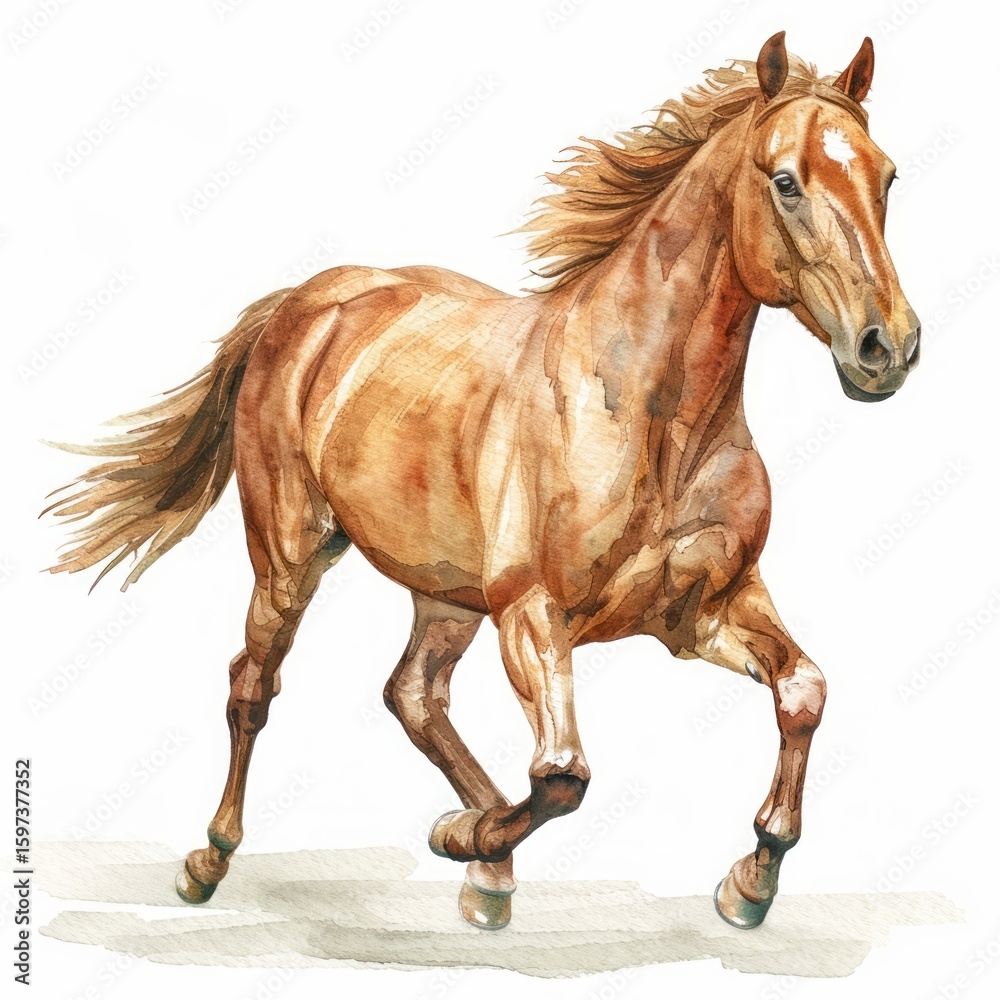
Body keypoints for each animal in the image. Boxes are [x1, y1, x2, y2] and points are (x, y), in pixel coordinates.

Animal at [44, 32, 920, 931]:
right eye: (786, 181)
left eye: (887, 177)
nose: (887, 348)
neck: (651, 416)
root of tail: (307, 300)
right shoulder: (533, 613)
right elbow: (563, 776)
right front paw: (463, 839)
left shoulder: (704, 609)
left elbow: (804, 691)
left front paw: (749, 884)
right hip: (290, 553)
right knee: (254, 685)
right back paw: (210, 861)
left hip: (447, 593)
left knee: (413, 694)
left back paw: (485, 870)